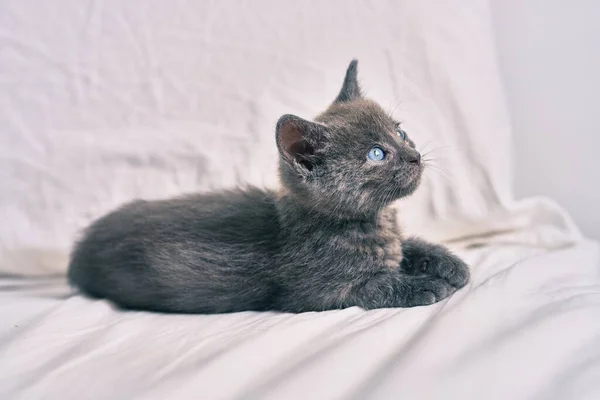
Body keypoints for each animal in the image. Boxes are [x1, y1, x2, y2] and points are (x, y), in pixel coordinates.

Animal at [65, 61, 468, 314]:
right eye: (376, 154)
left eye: (400, 133)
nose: (415, 155)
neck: (373, 222)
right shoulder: (316, 293)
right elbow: (372, 285)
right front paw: (421, 285)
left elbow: (407, 246)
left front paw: (448, 263)